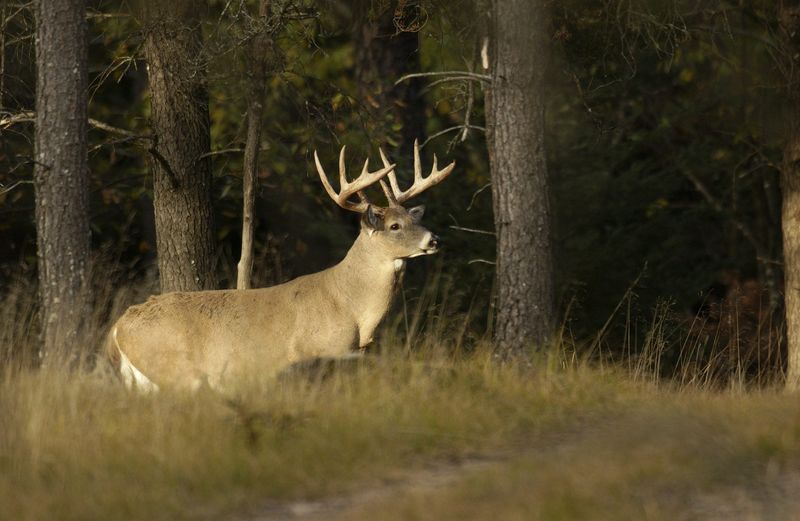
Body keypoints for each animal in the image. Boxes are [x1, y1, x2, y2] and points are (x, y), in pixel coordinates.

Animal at [105, 140, 455, 392]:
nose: (435, 239)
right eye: (394, 226)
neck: (351, 309)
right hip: (176, 370)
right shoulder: (313, 356)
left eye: (414, 217)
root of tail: (117, 329)